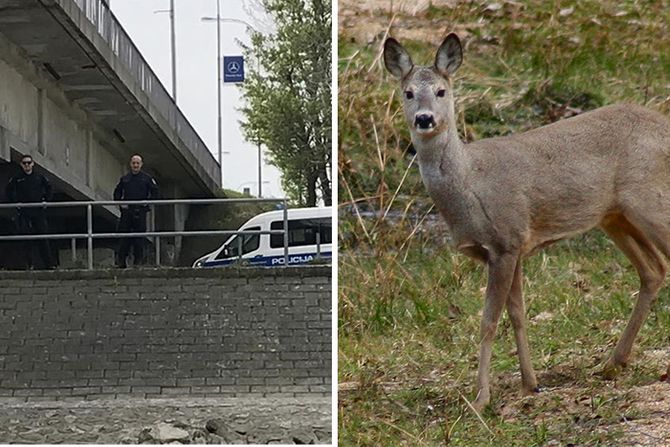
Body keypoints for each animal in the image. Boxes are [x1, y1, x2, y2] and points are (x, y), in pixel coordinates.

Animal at [384, 33, 670, 412]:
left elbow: (489, 321)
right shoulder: (514, 245)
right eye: (408, 93)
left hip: (649, 199)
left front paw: (481, 398)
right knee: (653, 269)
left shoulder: (505, 241)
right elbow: (517, 313)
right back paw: (611, 363)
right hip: (615, 216)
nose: (425, 119)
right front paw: (529, 383)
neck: (469, 184)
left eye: (442, 91)